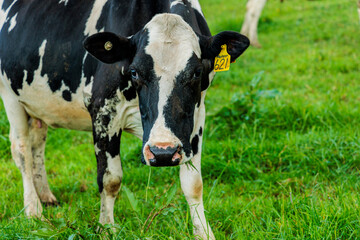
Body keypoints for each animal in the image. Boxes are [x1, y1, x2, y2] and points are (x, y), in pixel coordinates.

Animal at [0, 0, 248, 239]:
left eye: (196, 72)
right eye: (135, 72)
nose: (163, 152)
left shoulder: (197, 115)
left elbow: (193, 183)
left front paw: (203, 233)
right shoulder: (103, 110)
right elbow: (110, 179)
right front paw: (106, 228)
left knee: (37, 144)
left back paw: (45, 196)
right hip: (10, 97)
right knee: (22, 150)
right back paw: (34, 210)